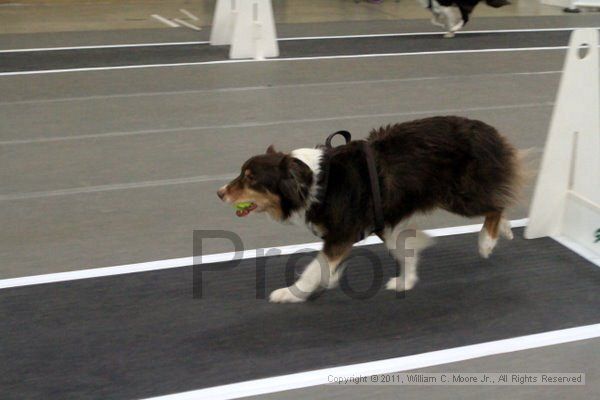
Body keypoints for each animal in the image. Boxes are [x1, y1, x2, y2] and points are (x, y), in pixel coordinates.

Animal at [216, 115, 520, 304]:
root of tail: (487, 130)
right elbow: (404, 251)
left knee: (496, 204)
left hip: (458, 196)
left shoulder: (341, 236)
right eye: (242, 174)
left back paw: (487, 241)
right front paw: (405, 282)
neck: (314, 182)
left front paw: (292, 293)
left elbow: (314, 268)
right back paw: (503, 231)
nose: (219, 193)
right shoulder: (383, 222)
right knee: (498, 200)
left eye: (250, 178)